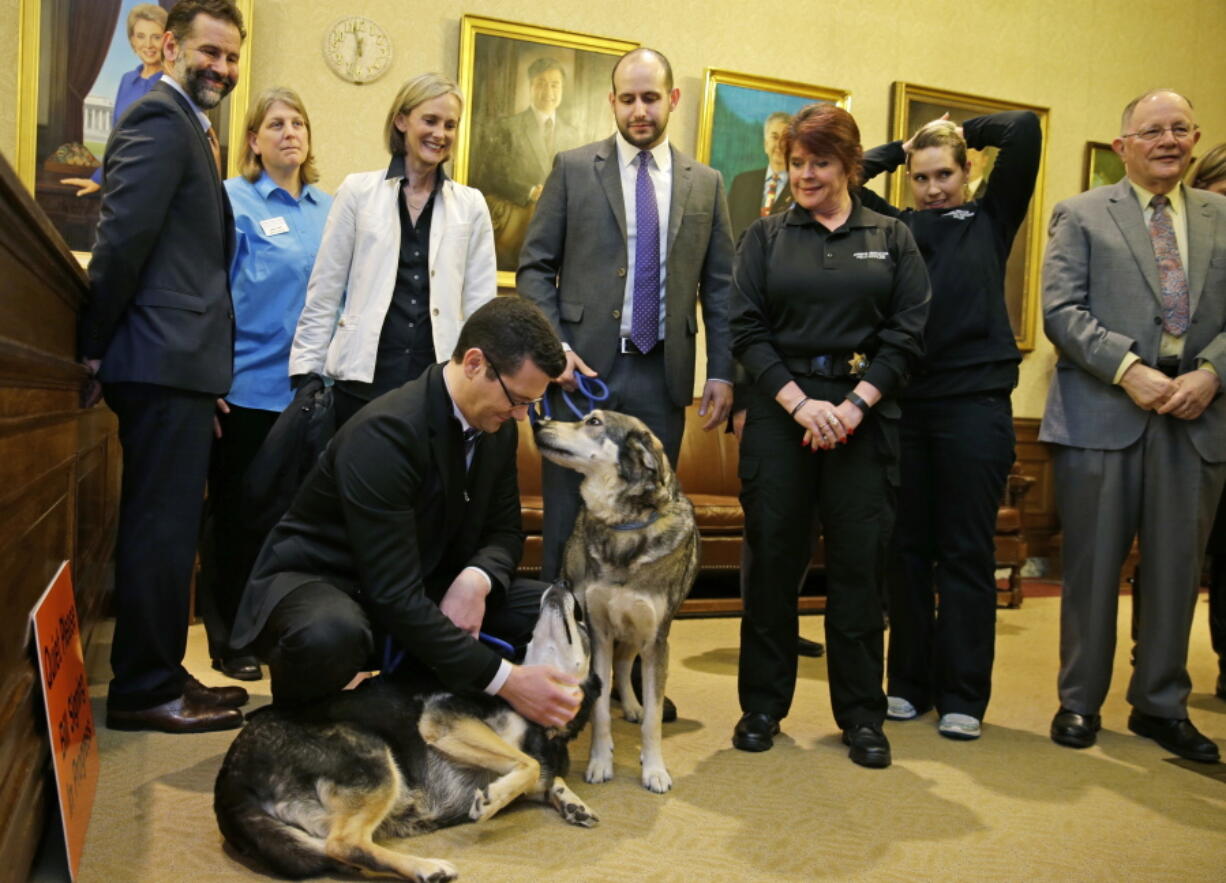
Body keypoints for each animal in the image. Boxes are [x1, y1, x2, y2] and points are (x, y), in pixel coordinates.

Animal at [536, 409, 701, 794]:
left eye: (593, 422)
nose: (539, 422)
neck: (625, 526)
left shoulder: (656, 640)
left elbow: (653, 720)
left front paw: (654, 769)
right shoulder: (598, 632)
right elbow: (599, 711)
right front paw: (600, 762)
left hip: (637, 635)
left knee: (626, 667)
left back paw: (632, 706)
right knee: (620, 668)